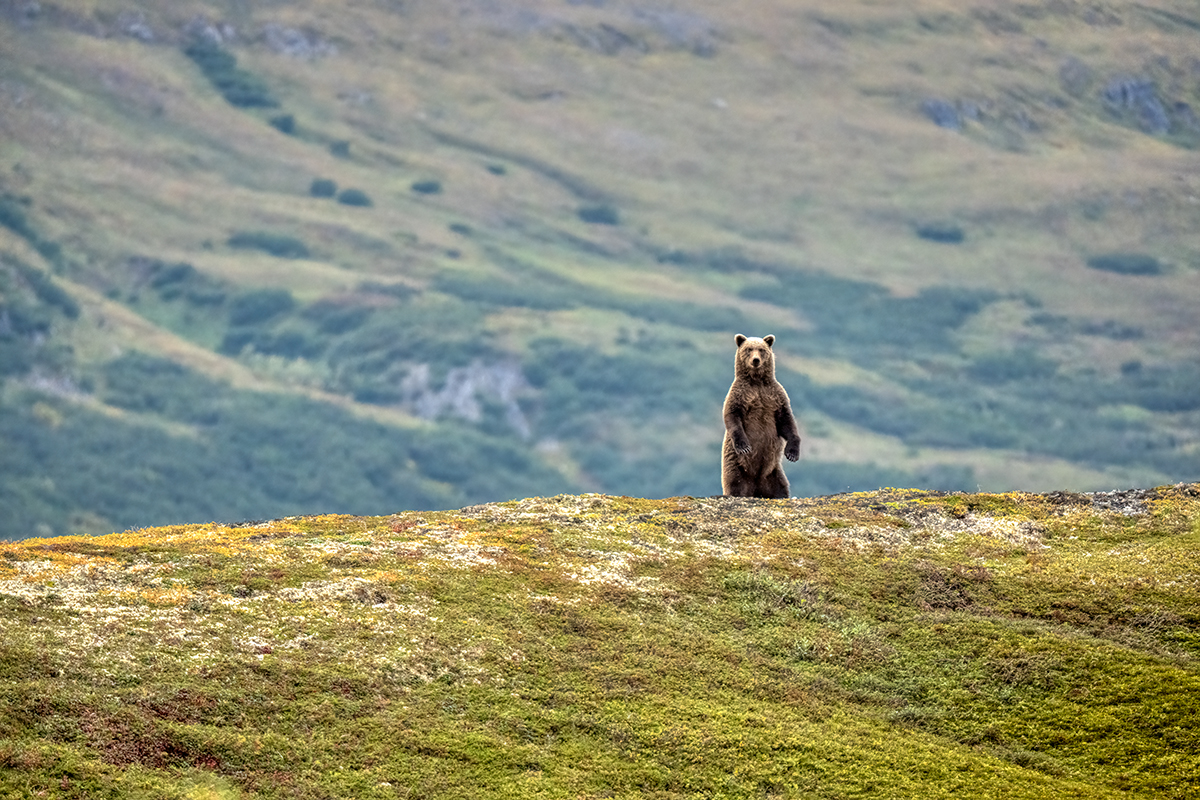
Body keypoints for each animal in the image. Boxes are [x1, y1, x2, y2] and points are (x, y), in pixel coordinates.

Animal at [721, 333, 802, 498]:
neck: (757, 381)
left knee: (781, 486)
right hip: (735, 467)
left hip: (772, 472)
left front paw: (792, 453)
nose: (755, 360)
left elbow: (787, 421)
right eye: (749, 349)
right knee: (734, 484)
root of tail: (755, 488)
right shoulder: (739, 394)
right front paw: (744, 446)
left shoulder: (776, 397)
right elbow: (732, 416)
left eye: (761, 349)